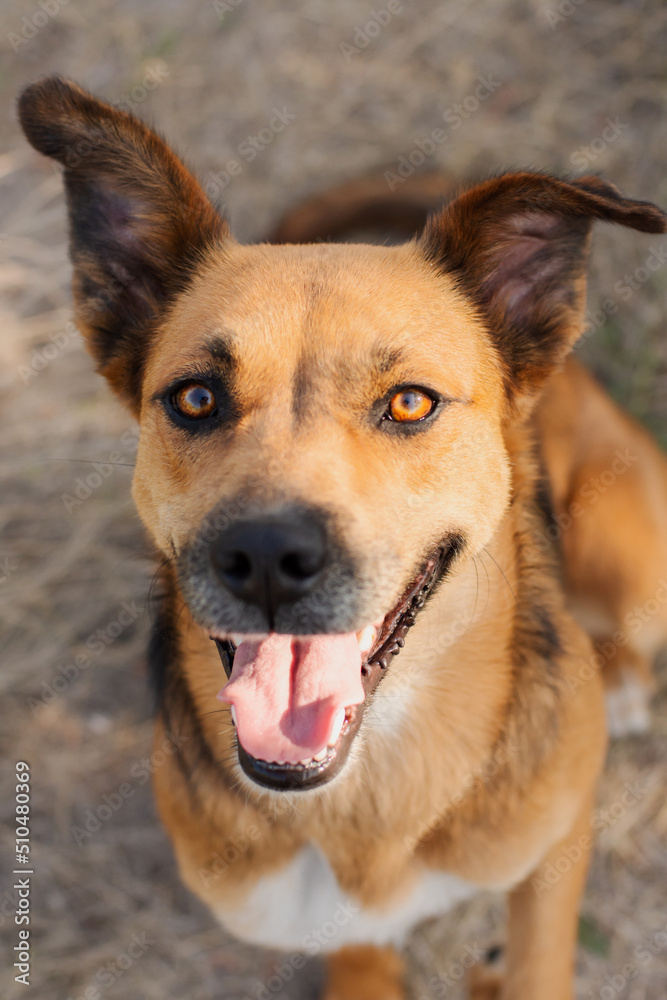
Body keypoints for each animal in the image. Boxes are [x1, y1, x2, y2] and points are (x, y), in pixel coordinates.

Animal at [17, 78, 667, 1000]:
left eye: (409, 402)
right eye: (195, 398)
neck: (366, 793)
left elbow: (538, 959)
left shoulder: (551, 846)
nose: (265, 559)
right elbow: (355, 944)